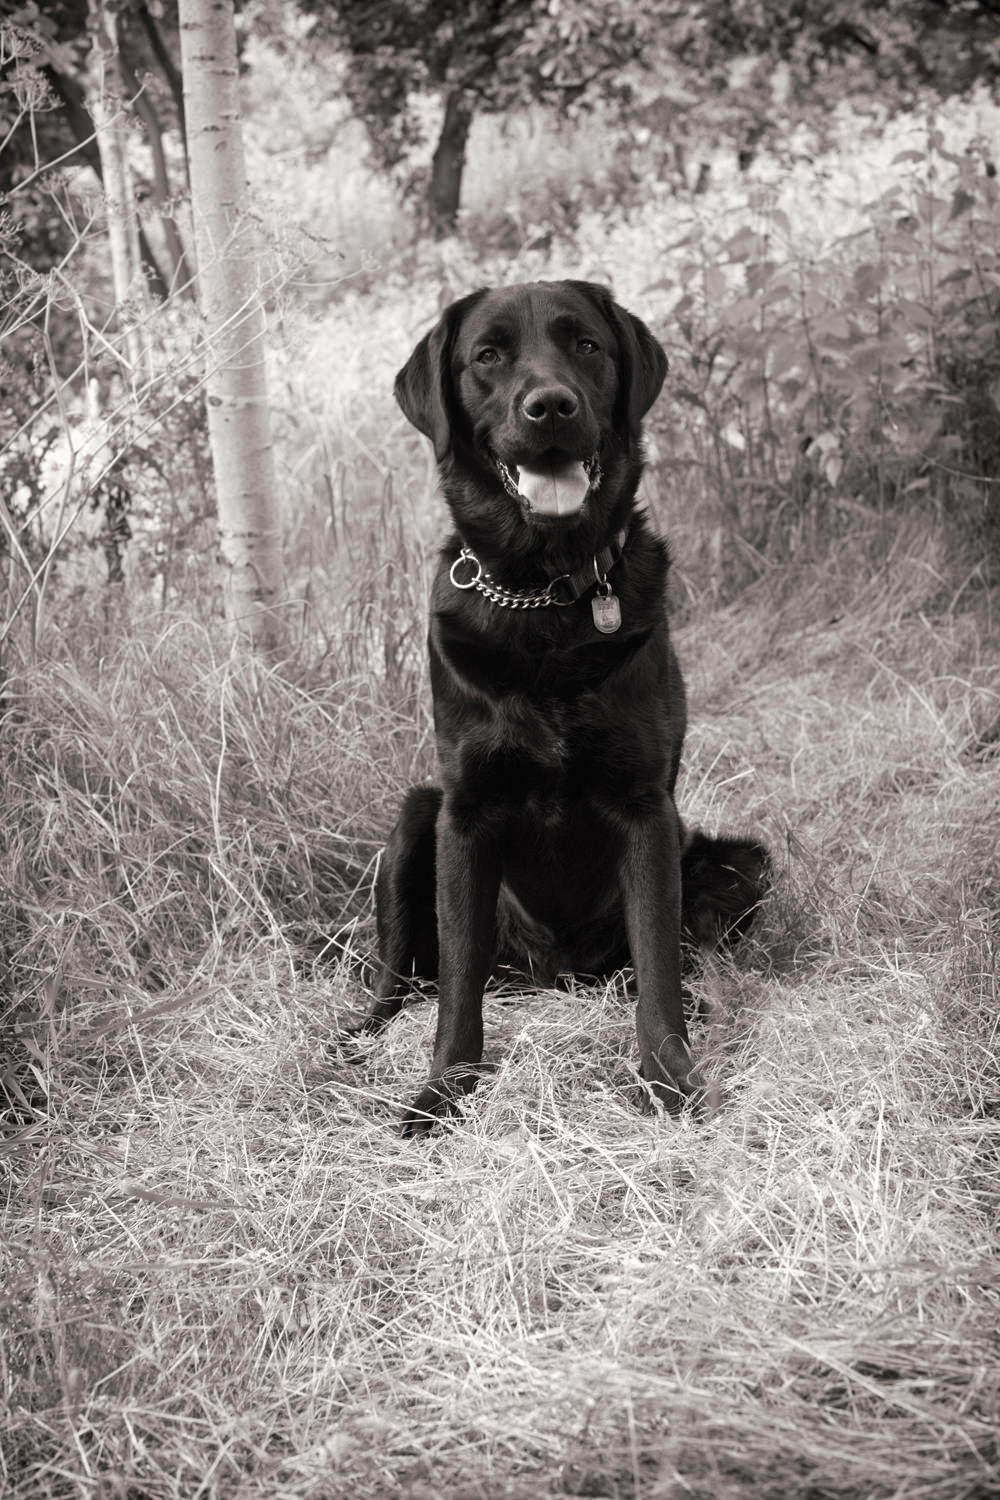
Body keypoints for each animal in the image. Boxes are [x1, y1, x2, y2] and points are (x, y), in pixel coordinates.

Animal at [358, 276, 767, 1128]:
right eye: (487, 356)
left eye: (586, 345)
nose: (549, 405)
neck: (543, 597)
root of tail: (553, 975)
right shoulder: (465, 814)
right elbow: (457, 986)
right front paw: (442, 1090)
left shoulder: (646, 810)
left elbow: (658, 966)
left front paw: (670, 1079)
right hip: (414, 820)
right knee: (397, 981)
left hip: (739, 862)